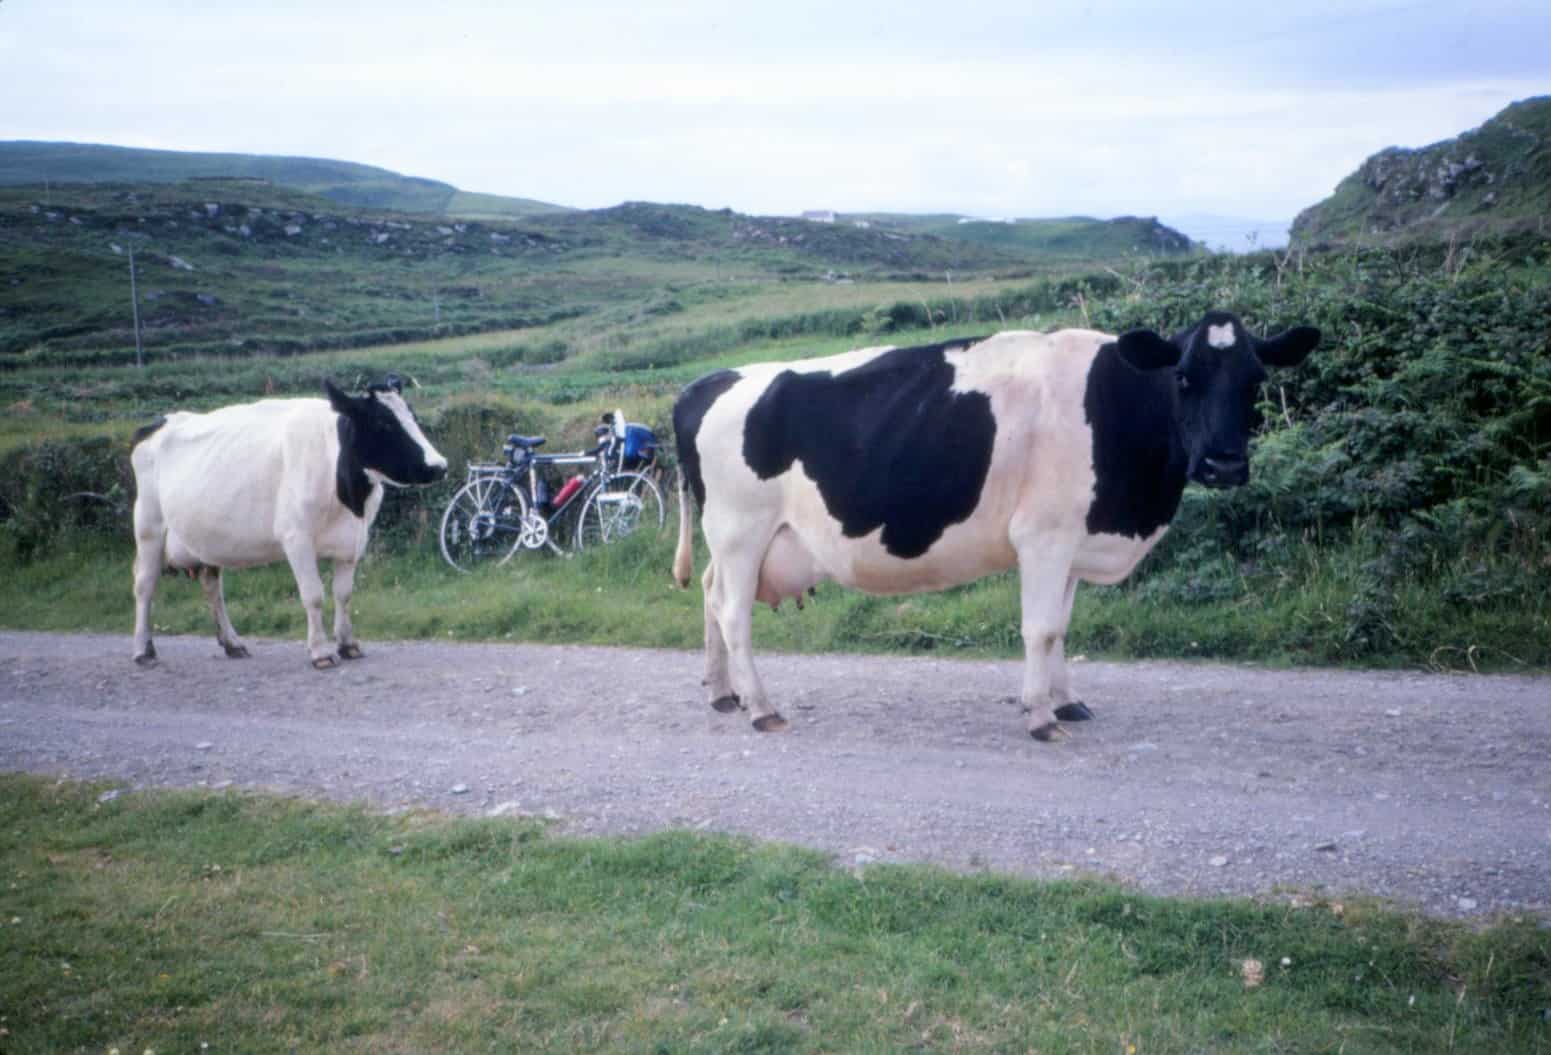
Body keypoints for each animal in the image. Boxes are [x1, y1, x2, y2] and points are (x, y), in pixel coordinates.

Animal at [129, 370, 446, 667]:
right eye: (383, 423)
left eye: (413, 416)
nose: (439, 466)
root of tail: (160, 422)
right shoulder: (296, 538)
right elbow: (314, 595)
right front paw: (320, 652)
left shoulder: (353, 540)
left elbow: (343, 594)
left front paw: (348, 645)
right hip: (149, 526)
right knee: (144, 585)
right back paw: (143, 649)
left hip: (203, 537)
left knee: (212, 585)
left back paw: (232, 643)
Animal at [673, 313, 1315, 738]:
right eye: (1183, 377)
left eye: (1255, 381)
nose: (1224, 464)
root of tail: (710, 381)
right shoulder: (1043, 536)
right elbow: (1040, 629)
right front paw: (1039, 716)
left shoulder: (1073, 542)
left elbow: (1062, 626)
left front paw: (1066, 702)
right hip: (741, 531)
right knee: (732, 613)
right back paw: (761, 707)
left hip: (734, 542)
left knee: (707, 595)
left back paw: (723, 694)